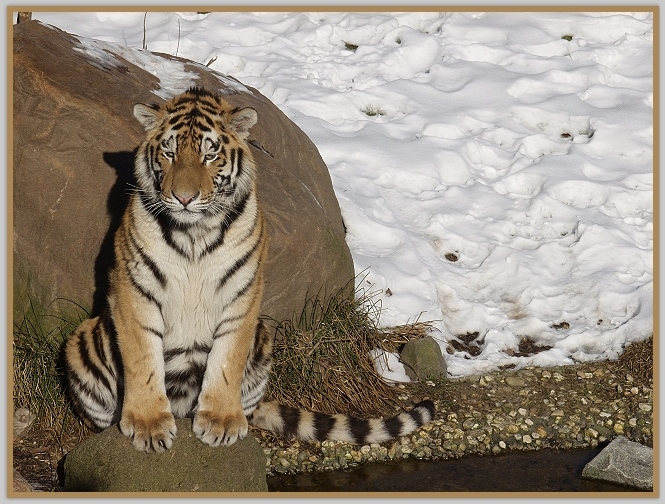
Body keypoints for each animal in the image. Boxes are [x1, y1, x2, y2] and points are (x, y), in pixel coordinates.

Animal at [63, 85, 436, 452]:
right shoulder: (134, 287)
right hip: (84, 340)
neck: (194, 233)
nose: (184, 198)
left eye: (209, 156)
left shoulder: (242, 290)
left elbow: (228, 357)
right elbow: (143, 358)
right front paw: (147, 424)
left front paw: (221, 421)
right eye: (169, 154)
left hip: (263, 338)